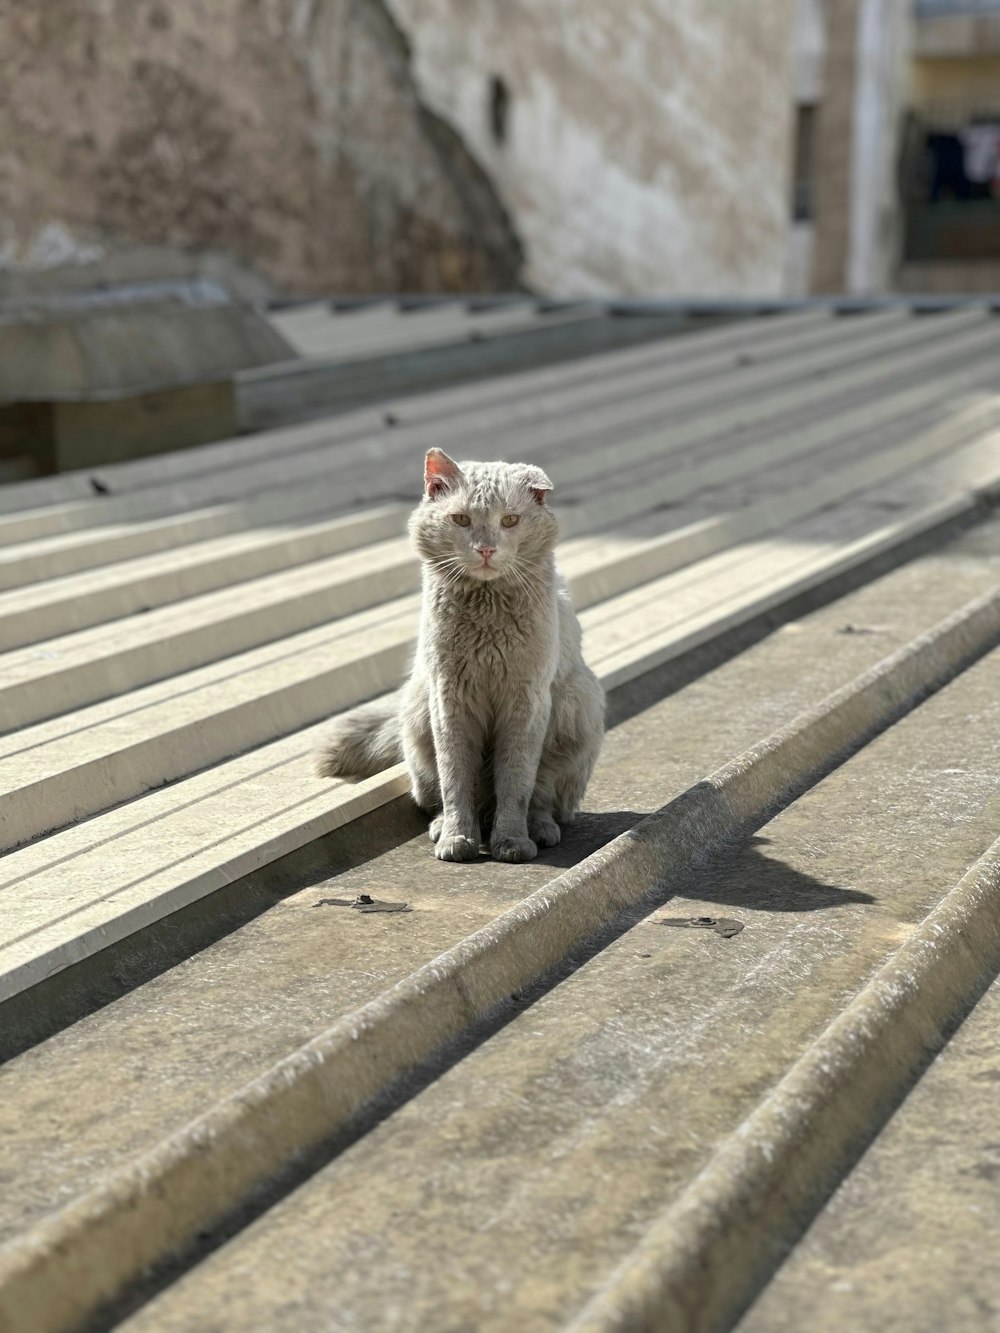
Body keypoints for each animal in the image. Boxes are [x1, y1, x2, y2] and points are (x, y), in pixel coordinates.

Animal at [317, 450, 608, 863]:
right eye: (461, 520)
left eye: (509, 520)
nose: (485, 549)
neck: (486, 619)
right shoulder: (449, 698)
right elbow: (455, 778)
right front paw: (457, 840)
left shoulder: (526, 701)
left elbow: (516, 782)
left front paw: (511, 843)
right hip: (417, 713)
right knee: (437, 794)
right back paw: (442, 827)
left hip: (577, 708)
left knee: (544, 797)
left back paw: (539, 830)